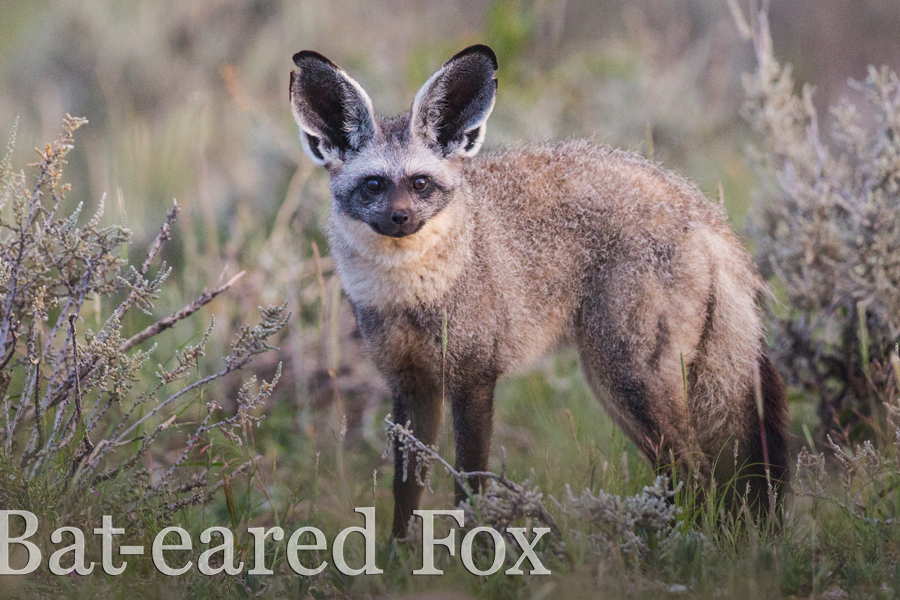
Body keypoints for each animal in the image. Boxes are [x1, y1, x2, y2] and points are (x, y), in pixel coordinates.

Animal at [288, 43, 788, 540]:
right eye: (373, 185)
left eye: (420, 183)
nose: (400, 218)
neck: (411, 296)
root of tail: (701, 208)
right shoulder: (412, 386)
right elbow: (406, 496)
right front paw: (401, 556)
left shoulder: (474, 379)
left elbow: (469, 487)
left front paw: (471, 552)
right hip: (619, 389)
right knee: (683, 477)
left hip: (627, 379)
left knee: (696, 473)